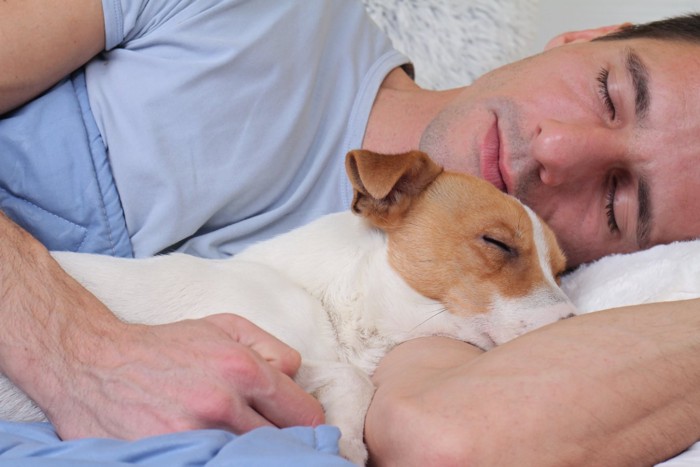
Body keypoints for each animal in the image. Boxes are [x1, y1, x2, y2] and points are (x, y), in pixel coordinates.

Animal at [0, 150, 576, 464]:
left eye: (562, 267)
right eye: (496, 243)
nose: (574, 322)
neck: (321, 295)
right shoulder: (252, 344)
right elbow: (353, 381)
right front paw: (344, 442)